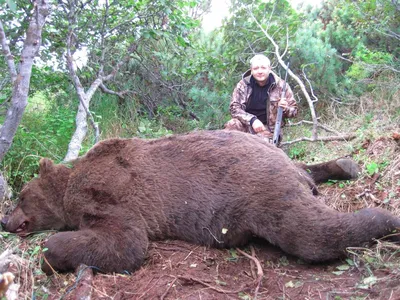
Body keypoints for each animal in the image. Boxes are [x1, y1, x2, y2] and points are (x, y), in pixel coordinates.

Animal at [1, 130, 398, 276]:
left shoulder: (110, 197)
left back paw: (385, 218)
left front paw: (48, 253)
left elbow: (127, 243)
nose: (6, 221)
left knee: (311, 234)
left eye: (21, 196)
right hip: (276, 166)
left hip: (260, 188)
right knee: (303, 170)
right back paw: (344, 164)